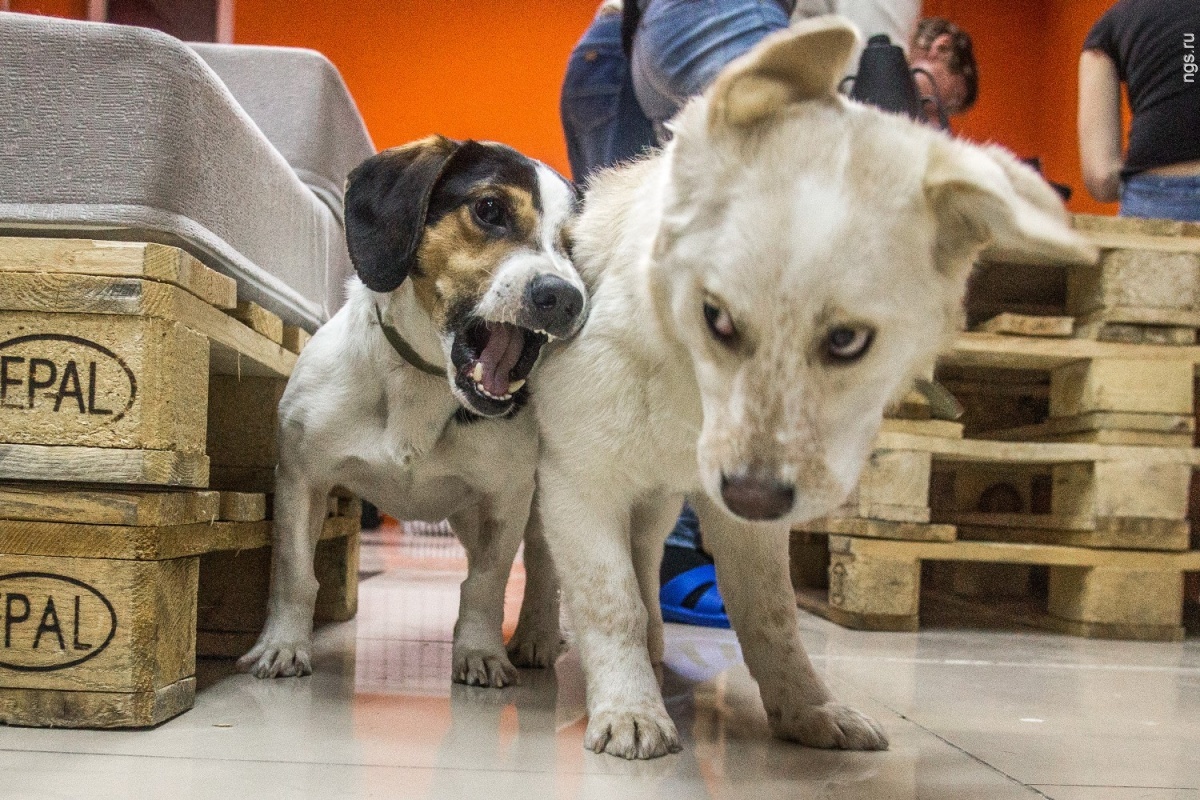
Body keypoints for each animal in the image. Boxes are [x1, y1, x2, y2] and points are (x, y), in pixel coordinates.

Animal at [237, 136, 585, 681]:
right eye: (490, 209)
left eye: (578, 246)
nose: (565, 297)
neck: (424, 379)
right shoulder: (301, 478)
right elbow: (295, 572)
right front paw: (283, 644)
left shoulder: (505, 500)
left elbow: (485, 583)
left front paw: (480, 651)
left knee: (543, 570)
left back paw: (537, 635)